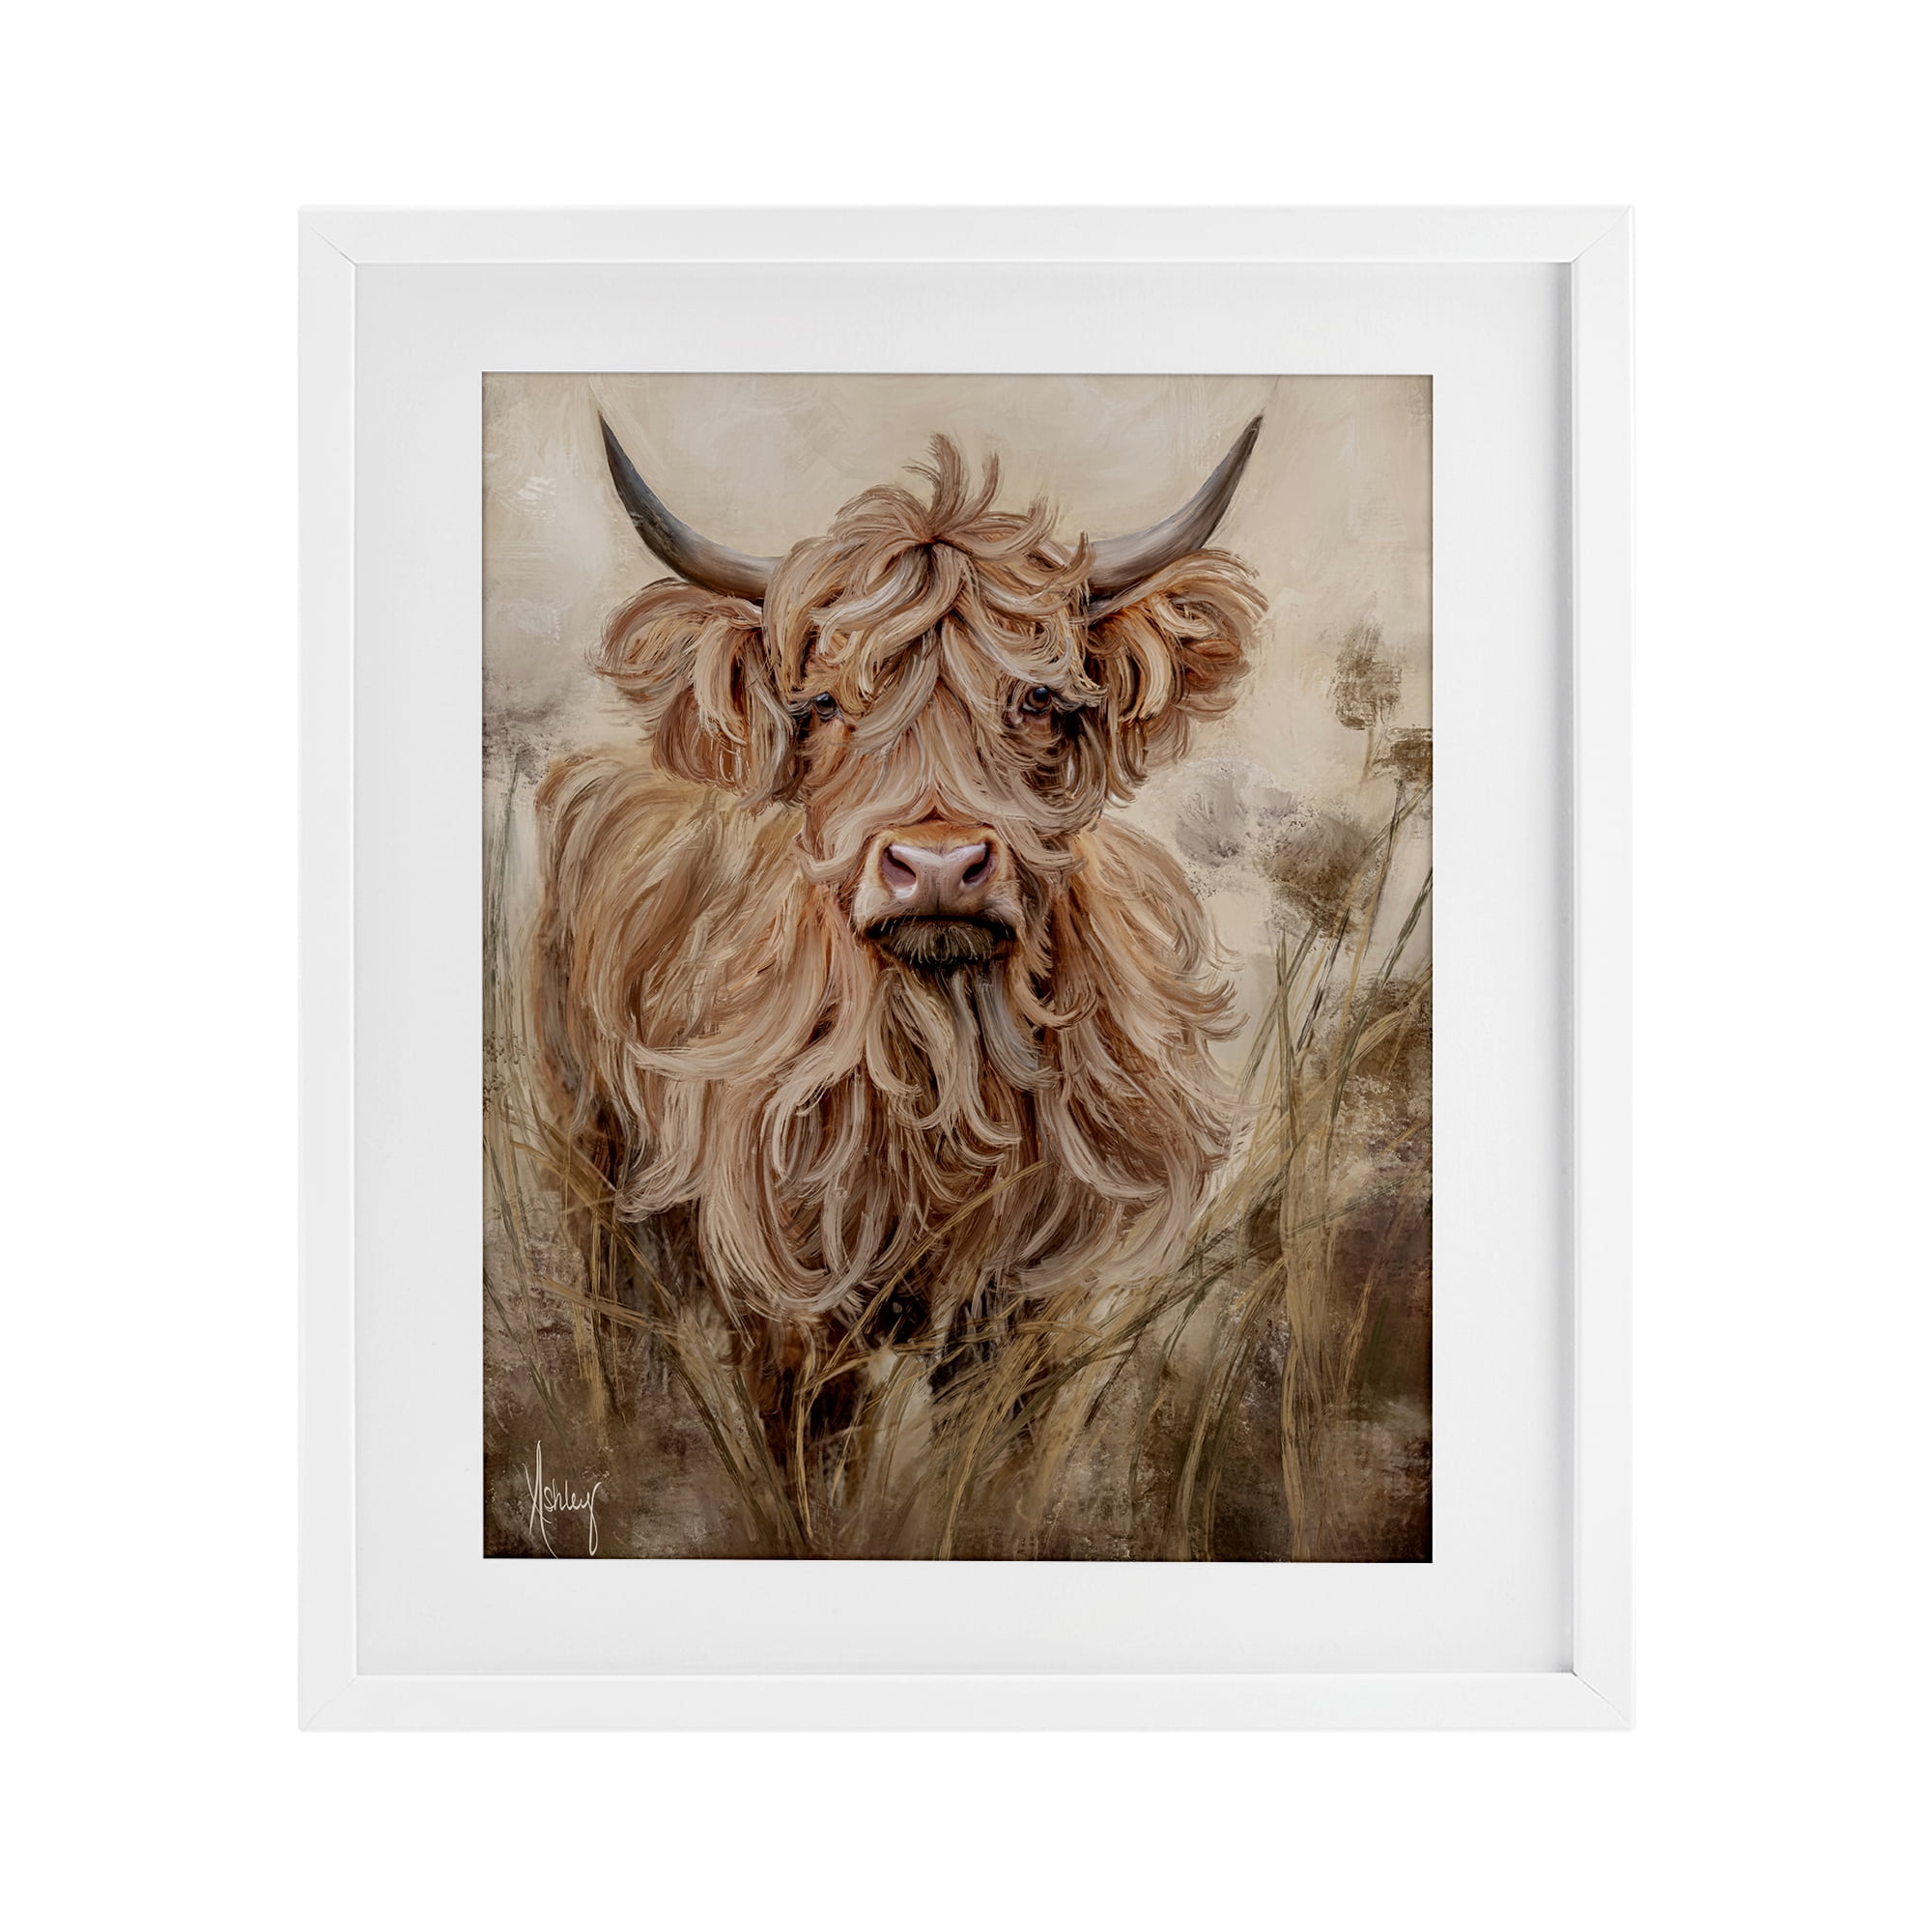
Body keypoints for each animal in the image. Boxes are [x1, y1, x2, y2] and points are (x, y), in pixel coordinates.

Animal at [532, 414, 1267, 1425]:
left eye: (1039, 697)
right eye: (820, 703)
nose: (937, 868)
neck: (945, 1076)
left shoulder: (1026, 1305)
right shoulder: (787, 1309)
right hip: (589, 1163)